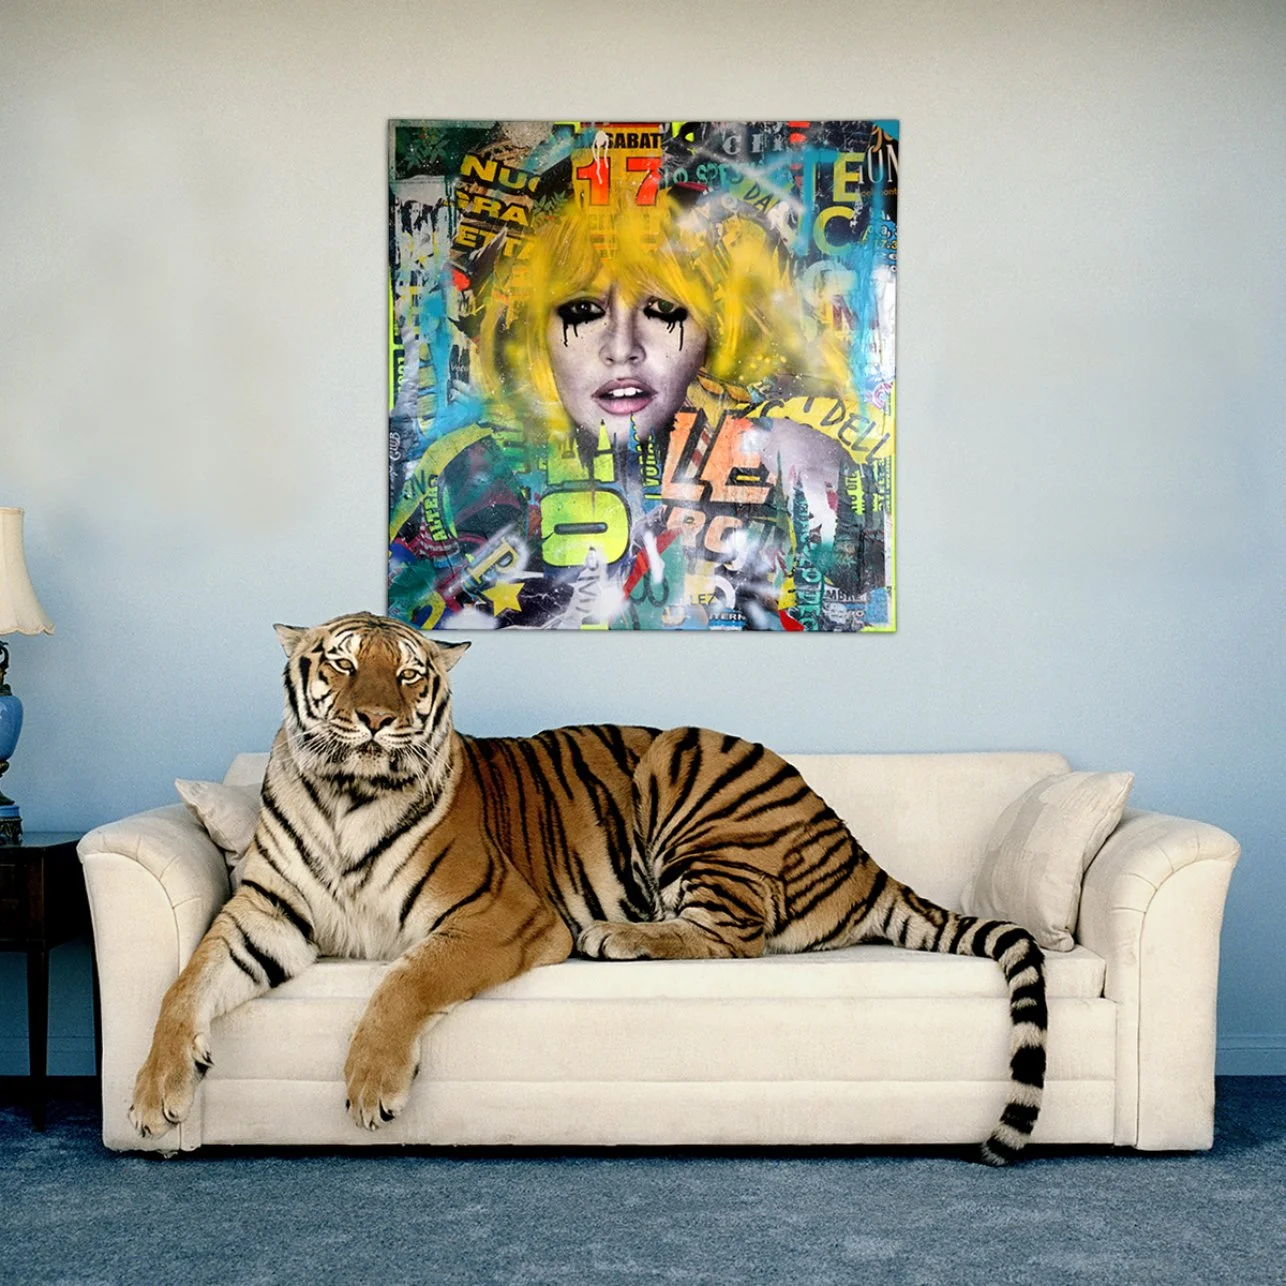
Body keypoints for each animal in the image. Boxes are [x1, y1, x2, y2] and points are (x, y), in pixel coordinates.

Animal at [130, 610, 1048, 1165]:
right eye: (344, 666)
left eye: (411, 676)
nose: (375, 721)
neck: (347, 794)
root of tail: (859, 850)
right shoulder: (266, 918)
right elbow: (182, 987)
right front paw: (153, 1098)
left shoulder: (501, 914)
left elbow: (405, 981)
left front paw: (370, 1084)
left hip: (683, 761)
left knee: (734, 936)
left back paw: (619, 936)